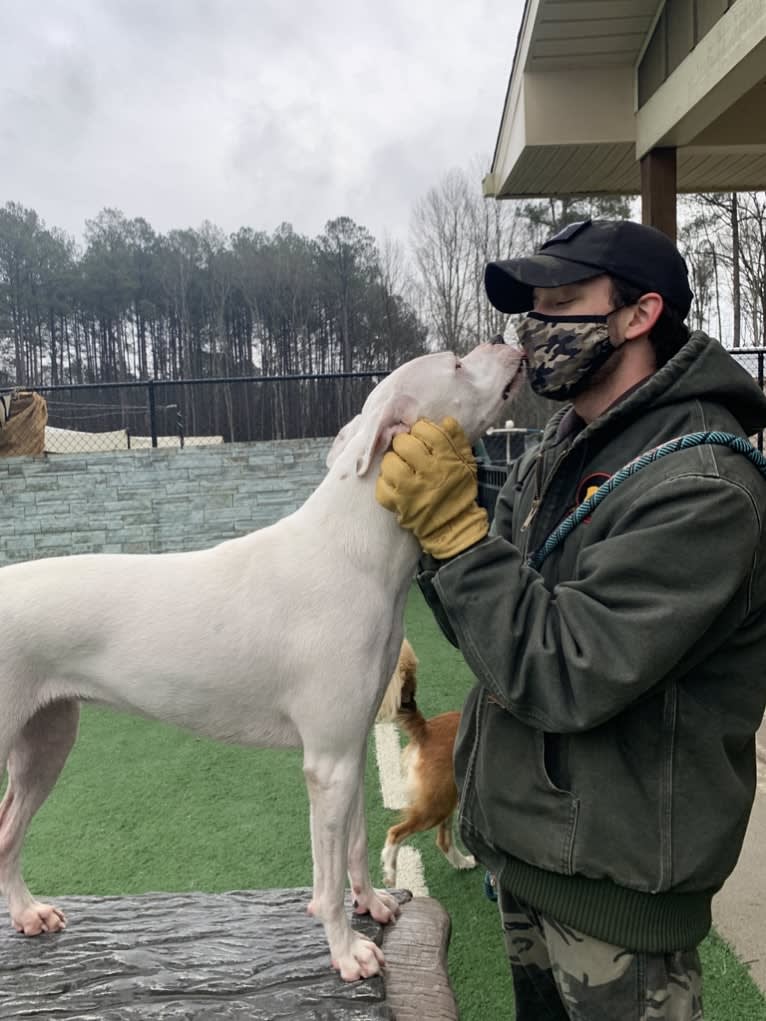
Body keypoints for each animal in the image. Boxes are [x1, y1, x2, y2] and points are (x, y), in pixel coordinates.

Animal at [0, 343, 522, 980]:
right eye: (455, 365)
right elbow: (327, 877)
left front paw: (371, 903)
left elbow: (355, 842)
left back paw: (26, 913)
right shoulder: (327, 764)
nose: (509, 343)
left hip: (46, 743)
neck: (353, 547)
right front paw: (346, 951)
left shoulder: (347, 749)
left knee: (7, 834)